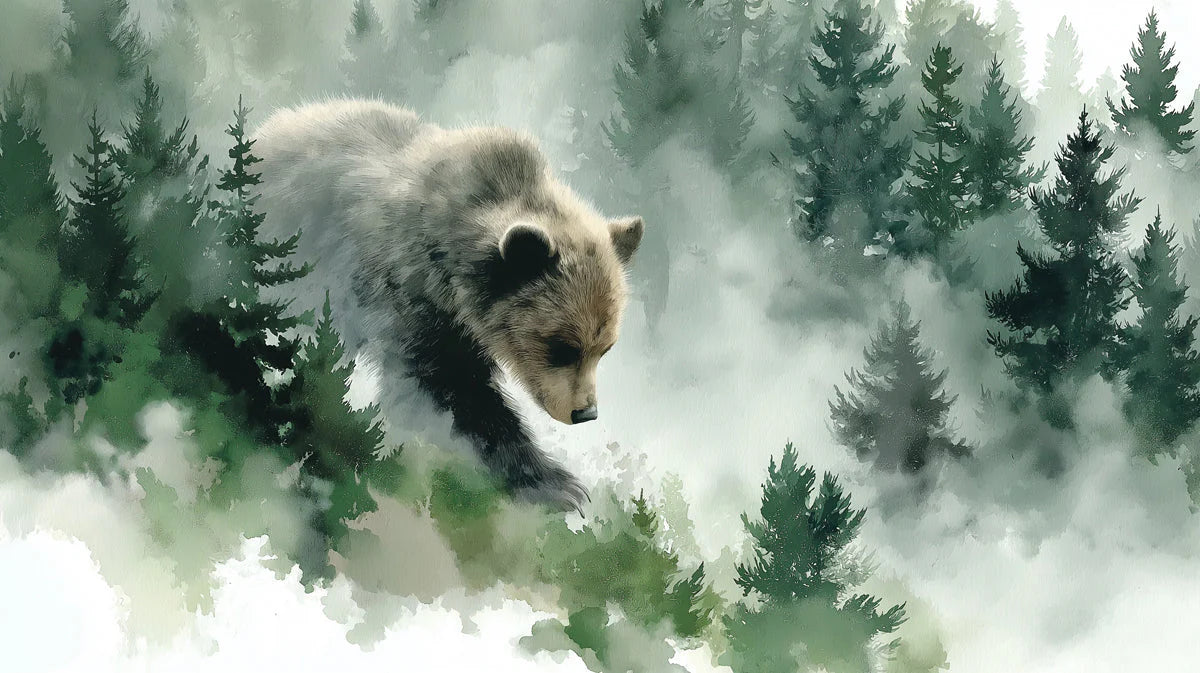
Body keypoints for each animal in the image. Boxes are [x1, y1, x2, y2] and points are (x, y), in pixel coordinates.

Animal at [252, 99, 644, 512]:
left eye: (604, 348)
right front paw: (557, 484)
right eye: (563, 346)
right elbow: (444, 390)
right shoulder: (409, 291)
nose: (585, 412)